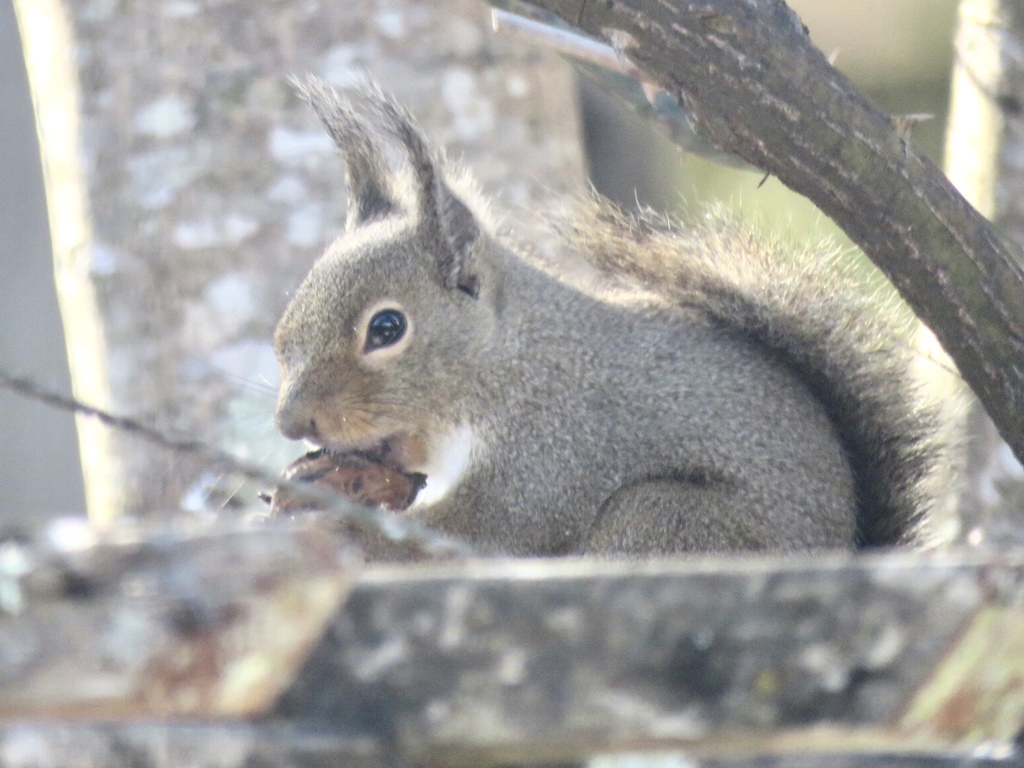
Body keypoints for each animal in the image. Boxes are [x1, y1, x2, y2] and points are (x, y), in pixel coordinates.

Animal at [272, 76, 950, 561]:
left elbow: (483, 532)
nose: (291, 422)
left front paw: (335, 528)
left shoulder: (552, 449)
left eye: (387, 329)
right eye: (281, 337)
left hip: (665, 522)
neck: (507, 364)